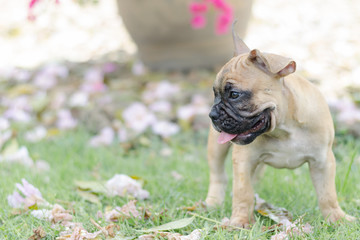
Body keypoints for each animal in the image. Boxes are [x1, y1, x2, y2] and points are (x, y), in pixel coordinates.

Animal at [205, 22, 354, 227]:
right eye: (215, 94)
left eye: (234, 94)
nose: (212, 114)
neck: (284, 129)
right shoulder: (243, 160)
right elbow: (243, 192)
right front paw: (241, 221)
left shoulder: (323, 161)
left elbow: (327, 194)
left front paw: (336, 218)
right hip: (216, 148)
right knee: (218, 175)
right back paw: (212, 202)